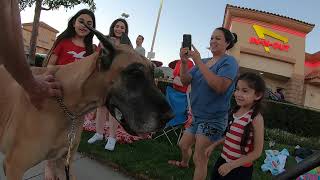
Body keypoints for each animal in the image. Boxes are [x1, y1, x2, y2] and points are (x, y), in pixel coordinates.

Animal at [0, 25, 174, 180]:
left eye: (153, 74)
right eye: (134, 73)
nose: (170, 117)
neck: (70, 105)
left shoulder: (63, 163)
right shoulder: (14, 167)